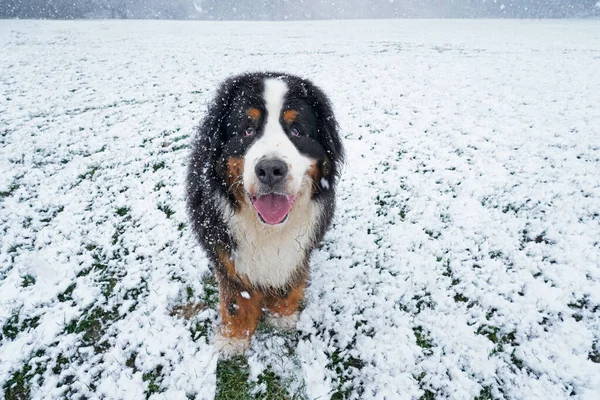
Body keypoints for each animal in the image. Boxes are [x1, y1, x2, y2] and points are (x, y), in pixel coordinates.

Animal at [185, 72, 344, 356]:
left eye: (296, 130)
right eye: (247, 129)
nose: (271, 169)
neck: (269, 228)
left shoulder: (298, 249)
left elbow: (289, 276)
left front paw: (281, 314)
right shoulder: (225, 250)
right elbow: (235, 297)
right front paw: (234, 338)